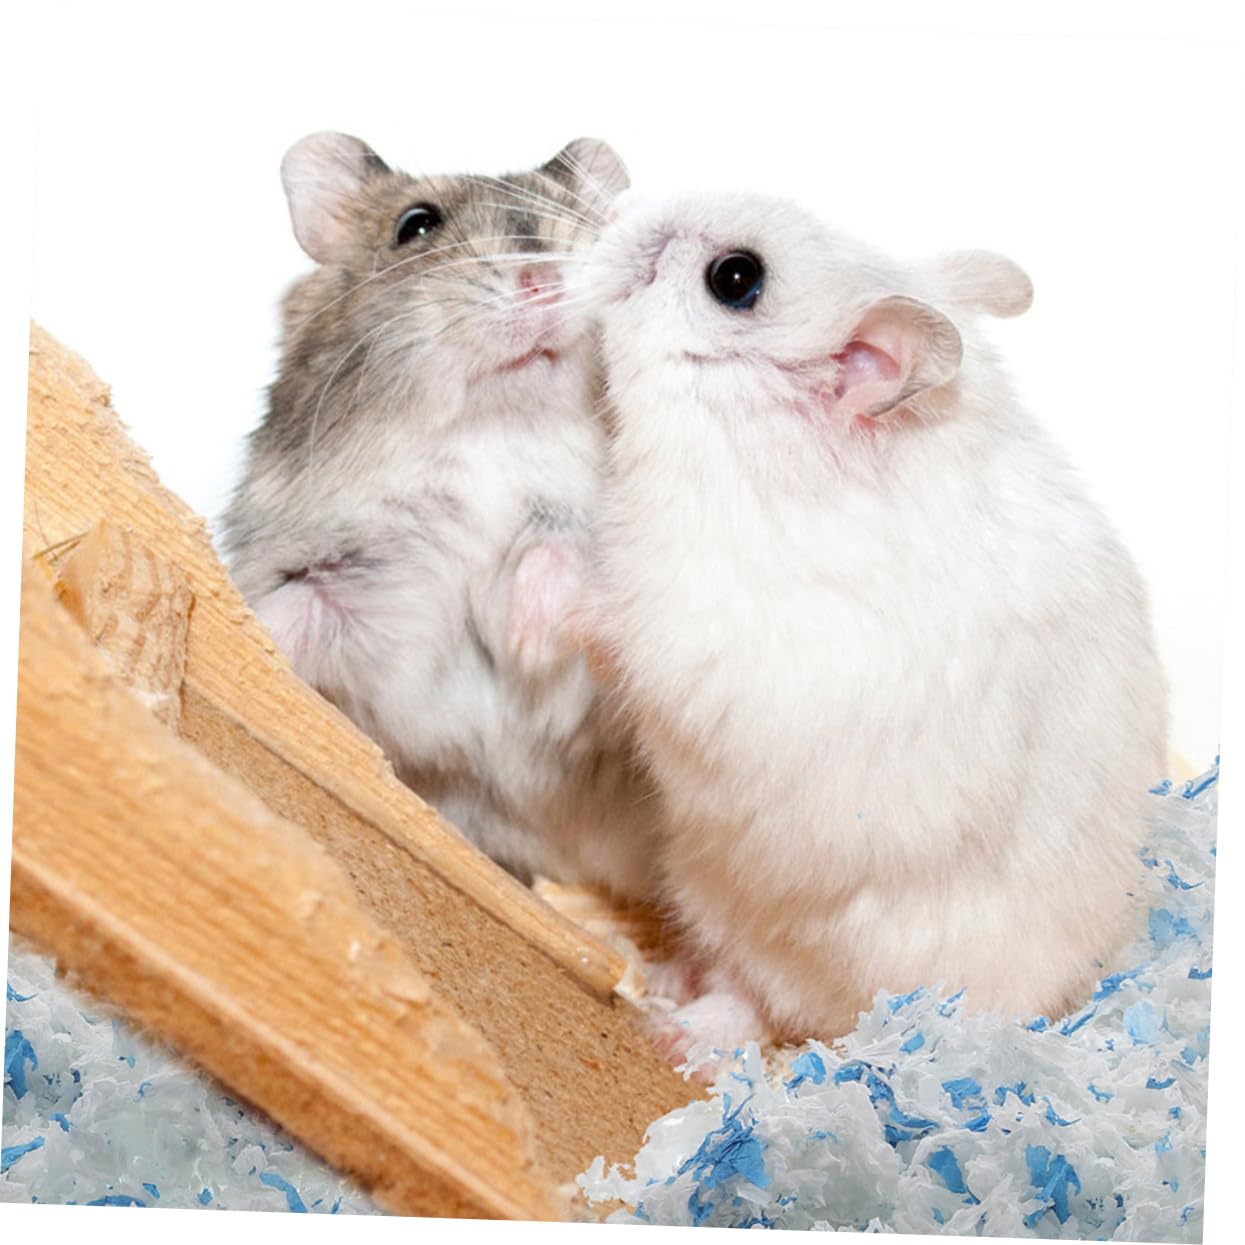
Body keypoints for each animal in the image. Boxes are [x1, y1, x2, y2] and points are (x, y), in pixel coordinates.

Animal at [222, 133, 658, 899]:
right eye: (415, 226)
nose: (545, 279)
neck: (494, 435)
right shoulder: (331, 570)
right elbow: (294, 609)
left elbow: (562, 549)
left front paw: (527, 639)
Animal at [579, 190, 1169, 1048]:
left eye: (734, 279)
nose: (621, 206)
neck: (752, 439)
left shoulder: (701, 625)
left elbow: (611, 618)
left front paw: (532, 585)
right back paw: (664, 978)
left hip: (786, 929)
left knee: (754, 999)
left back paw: (679, 1033)